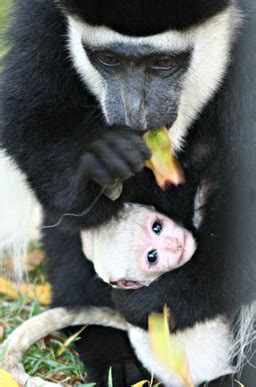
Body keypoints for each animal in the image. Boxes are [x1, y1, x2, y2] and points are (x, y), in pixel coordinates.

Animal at [0, 0, 256, 386]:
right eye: (109, 60)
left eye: (164, 63)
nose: (135, 113)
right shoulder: (43, 16)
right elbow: (30, 113)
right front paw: (99, 160)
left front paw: (161, 303)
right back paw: (109, 354)